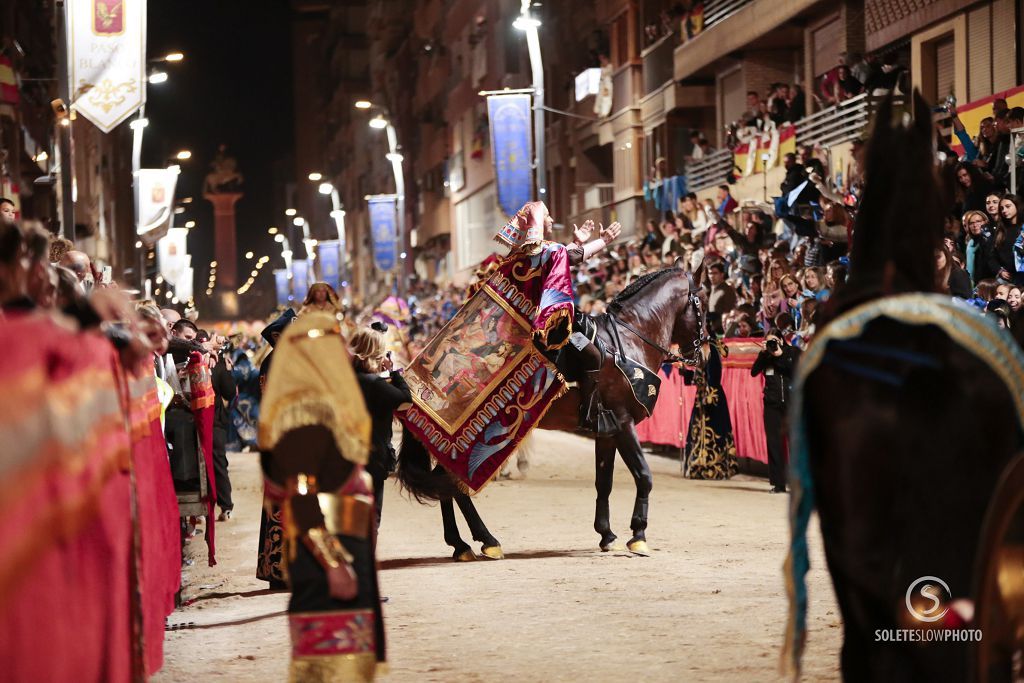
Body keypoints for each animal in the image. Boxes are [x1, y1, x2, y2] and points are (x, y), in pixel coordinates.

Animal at [395, 259, 708, 557]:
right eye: (702, 303)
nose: (702, 354)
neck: (629, 343)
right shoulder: (623, 422)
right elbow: (644, 476)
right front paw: (638, 535)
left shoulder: (606, 431)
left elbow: (603, 482)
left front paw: (607, 535)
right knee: (453, 485)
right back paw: (486, 540)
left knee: (445, 484)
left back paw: (461, 544)